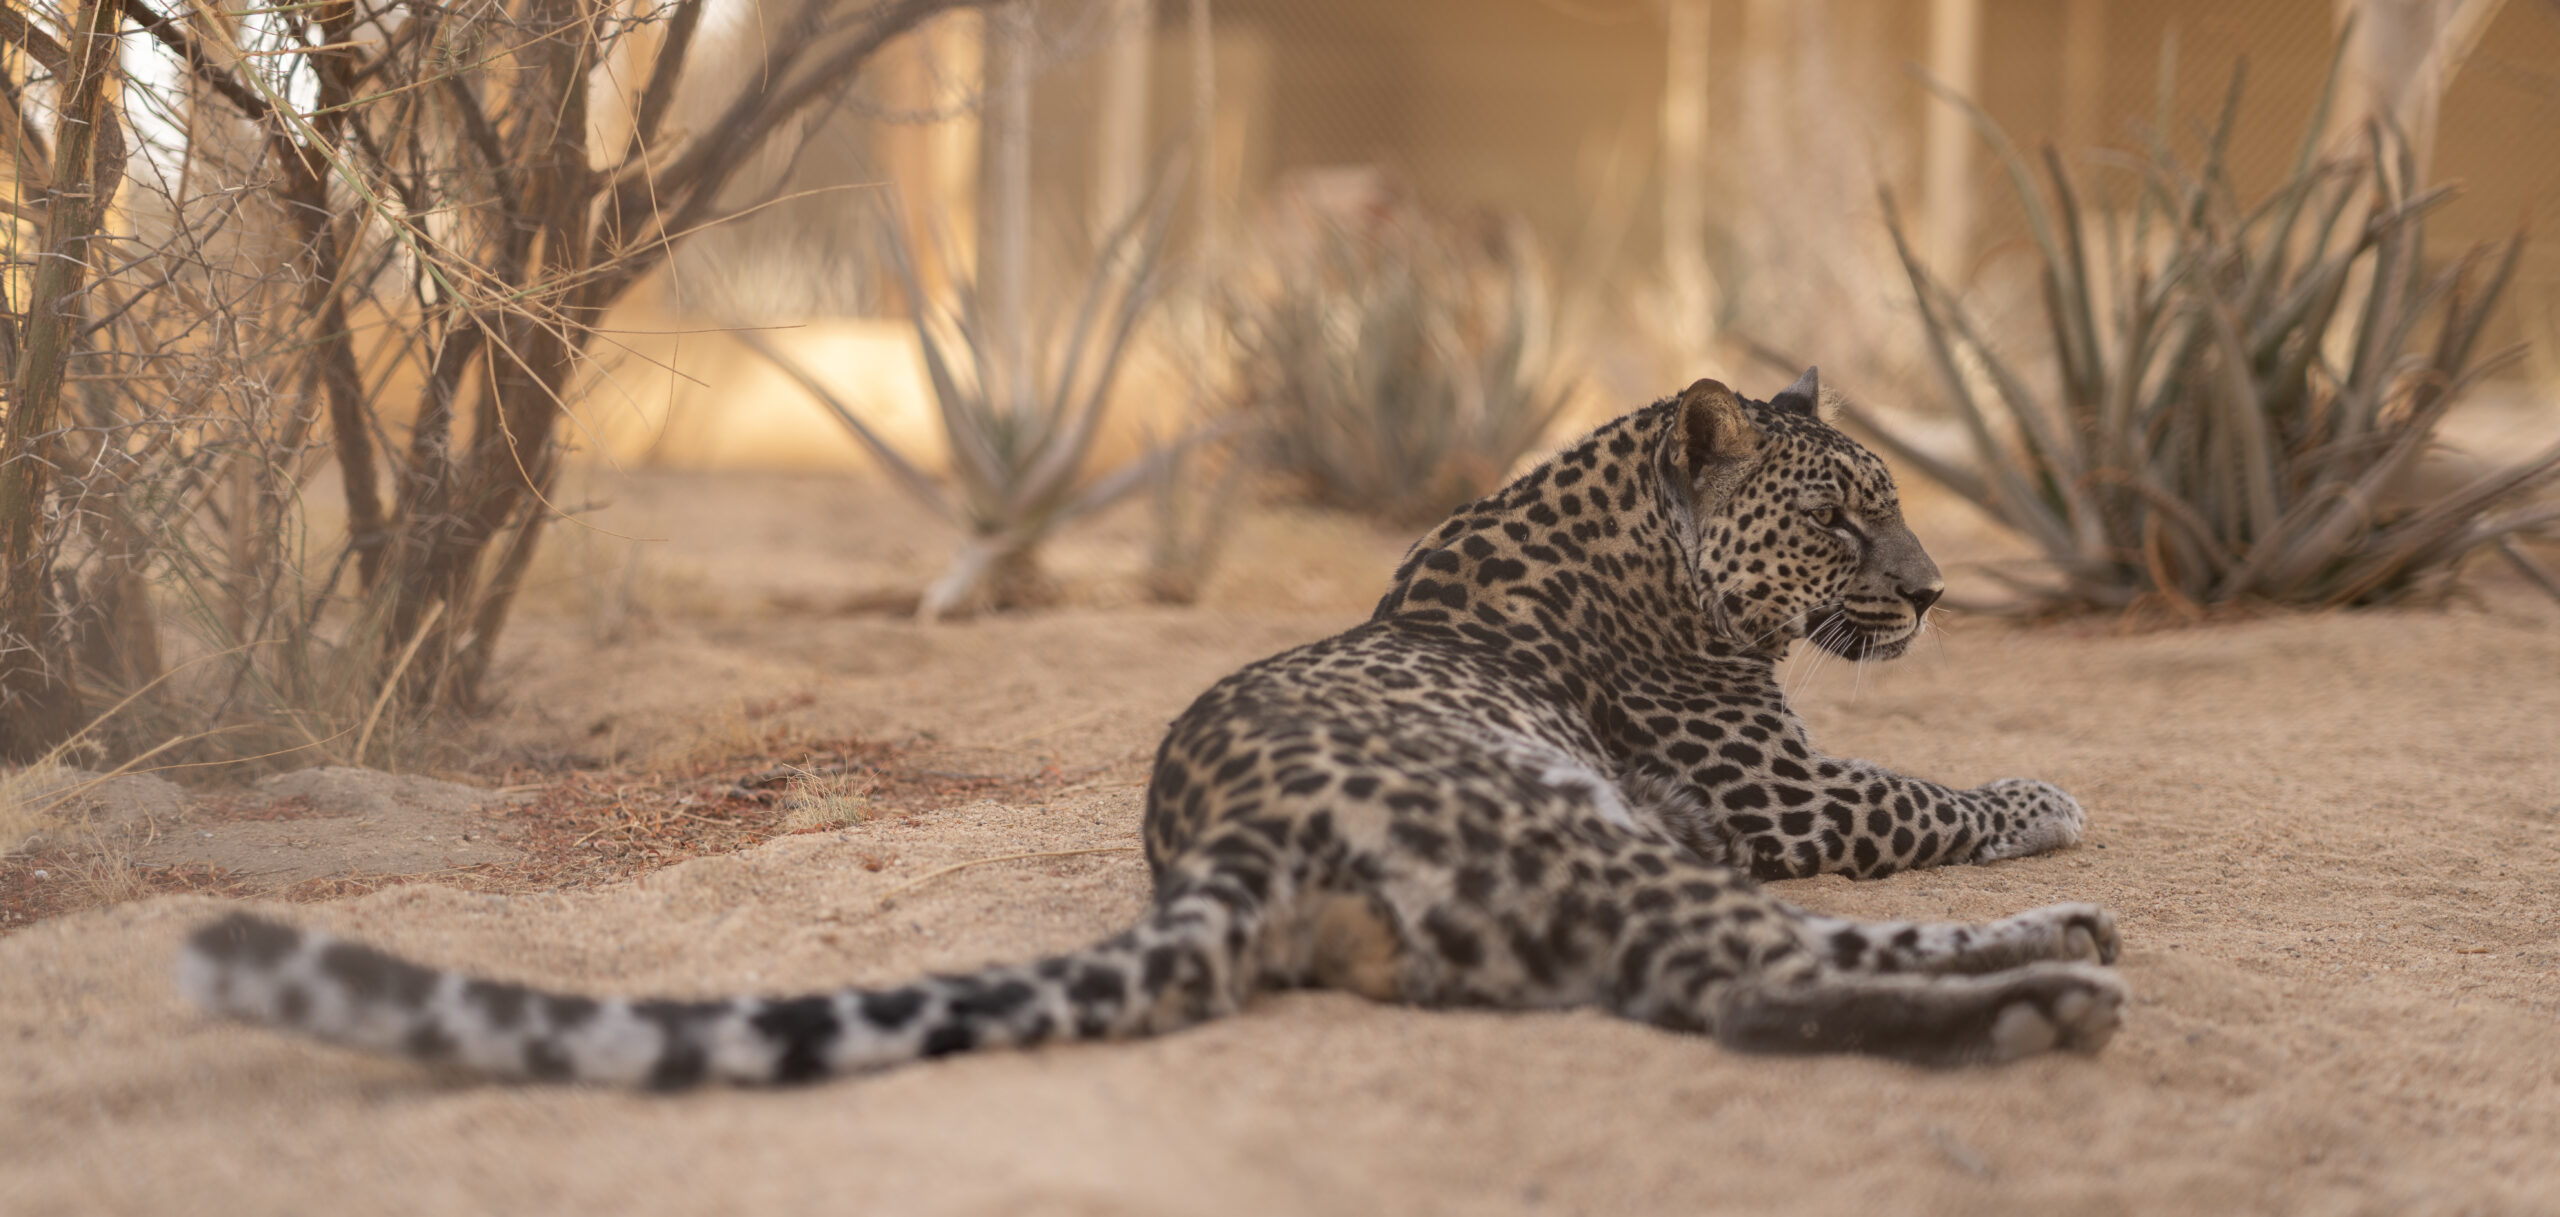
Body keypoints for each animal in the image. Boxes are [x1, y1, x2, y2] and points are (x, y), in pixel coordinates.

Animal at [181, 368, 2124, 1087]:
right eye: (1848, 520)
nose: (1938, 594)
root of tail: (1229, 837)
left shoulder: (1761, 798)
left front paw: (2038, 811)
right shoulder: (1773, 793)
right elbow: (1919, 792)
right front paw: (2039, 791)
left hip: (1583, 867)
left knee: (1769, 968)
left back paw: (2065, 952)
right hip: (1589, 830)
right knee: (1758, 977)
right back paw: (2049, 985)